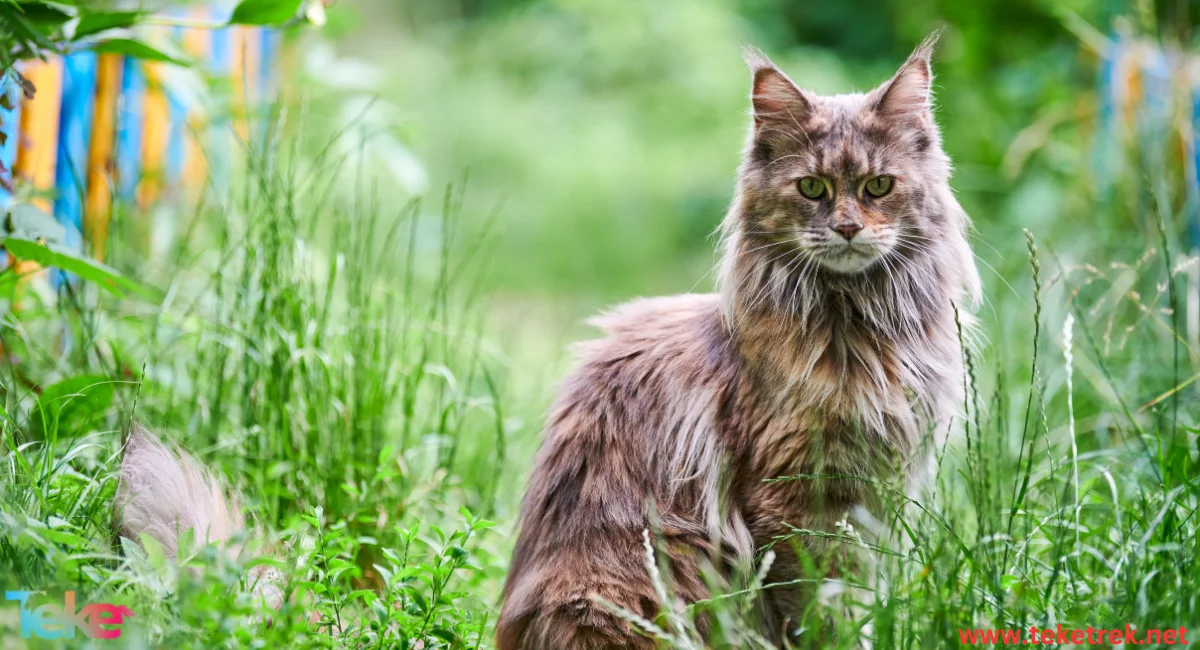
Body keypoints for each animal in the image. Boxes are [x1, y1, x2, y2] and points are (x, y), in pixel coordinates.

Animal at [492, 36, 979, 650]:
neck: (854, 327)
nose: (847, 229)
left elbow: (862, 596)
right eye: (812, 188)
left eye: (879, 186)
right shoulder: (795, 497)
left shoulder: (878, 492)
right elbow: (823, 606)